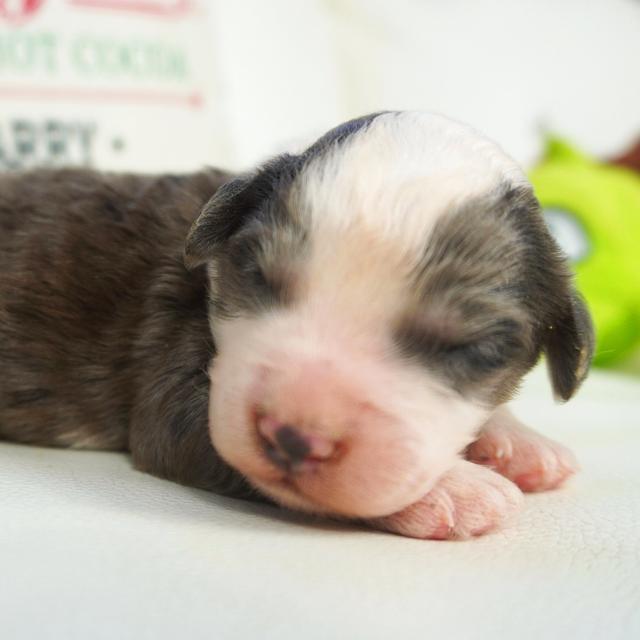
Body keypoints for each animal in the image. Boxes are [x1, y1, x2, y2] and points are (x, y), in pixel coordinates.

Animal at [0, 112, 596, 536]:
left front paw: (519, 440)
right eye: (255, 274)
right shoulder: (169, 363)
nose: (291, 438)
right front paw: (454, 487)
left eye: (475, 348)